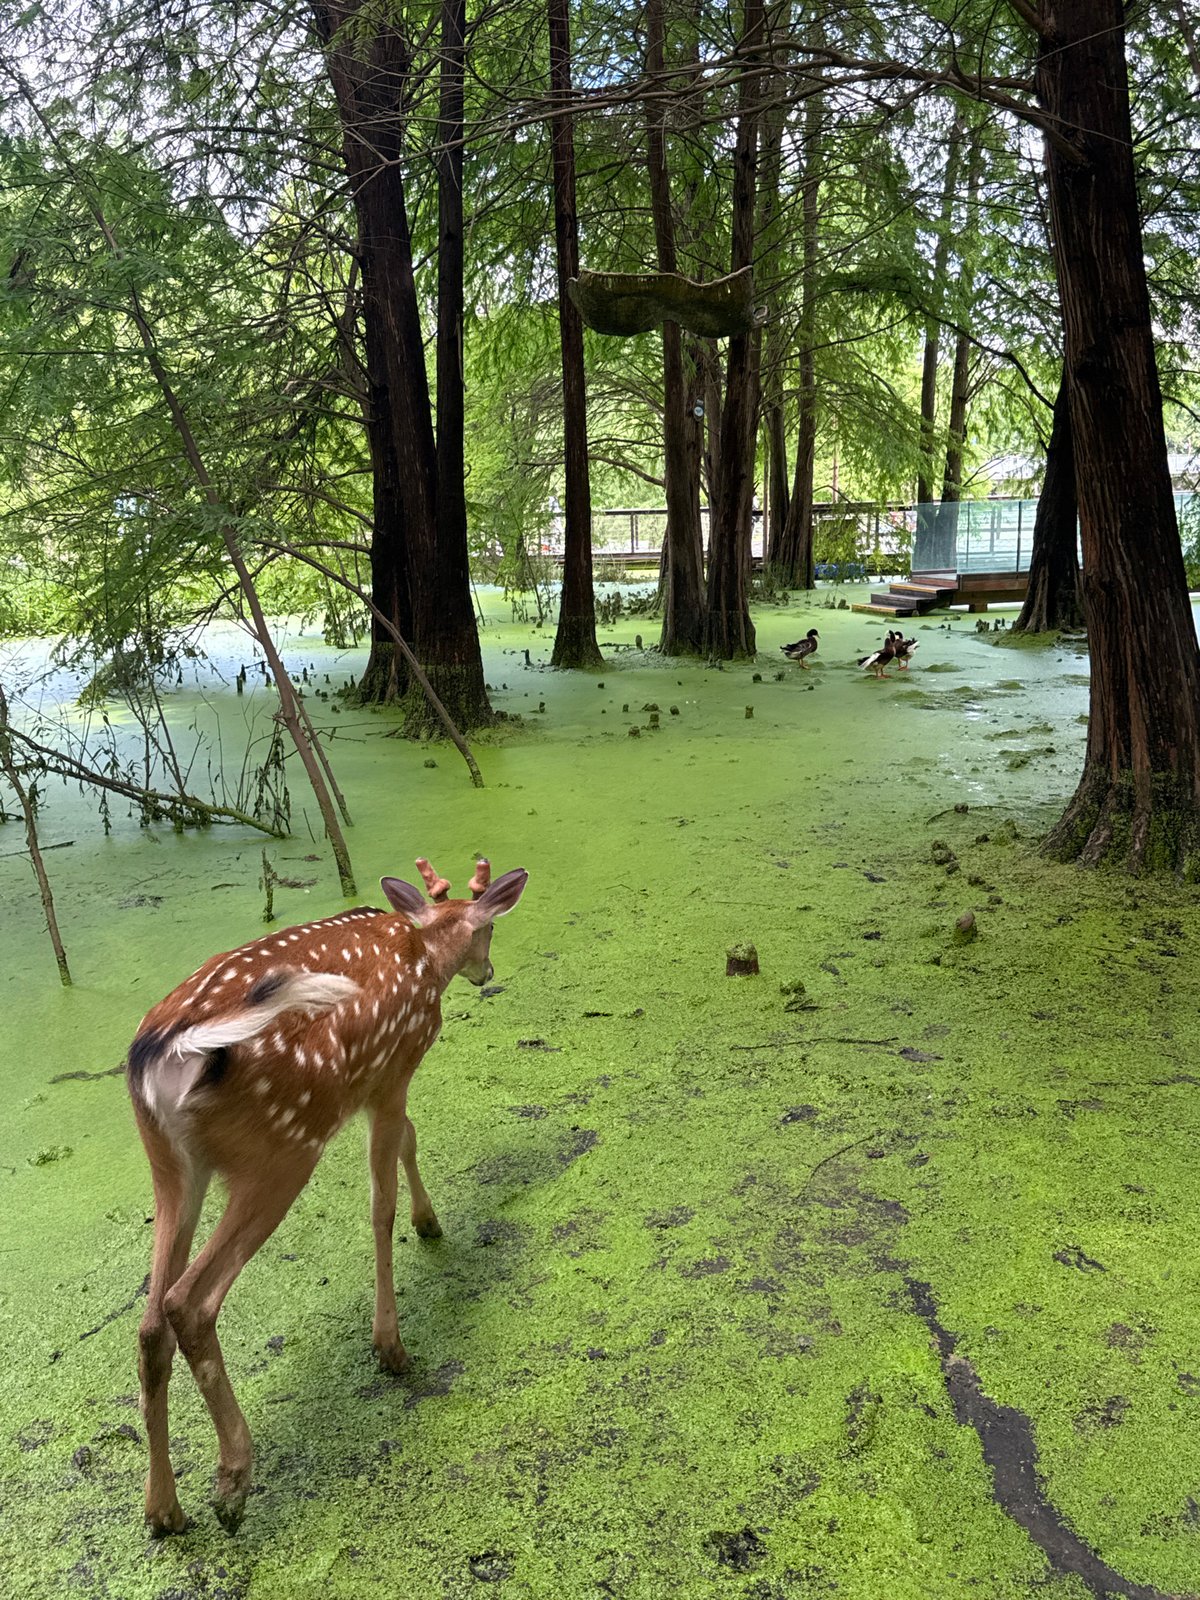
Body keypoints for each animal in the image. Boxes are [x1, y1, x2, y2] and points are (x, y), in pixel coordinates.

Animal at [126, 855, 528, 1537]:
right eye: (491, 929)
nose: (488, 973)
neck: (425, 951)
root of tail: (169, 1053)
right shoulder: (394, 1066)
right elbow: (381, 1200)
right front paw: (390, 1346)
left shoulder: (382, 1084)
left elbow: (411, 1140)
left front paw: (430, 1221)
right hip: (283, 1148)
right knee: (189, 1303)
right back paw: (232, 1482)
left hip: (172, 1168)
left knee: (151, 1321)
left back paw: (164, 1511)